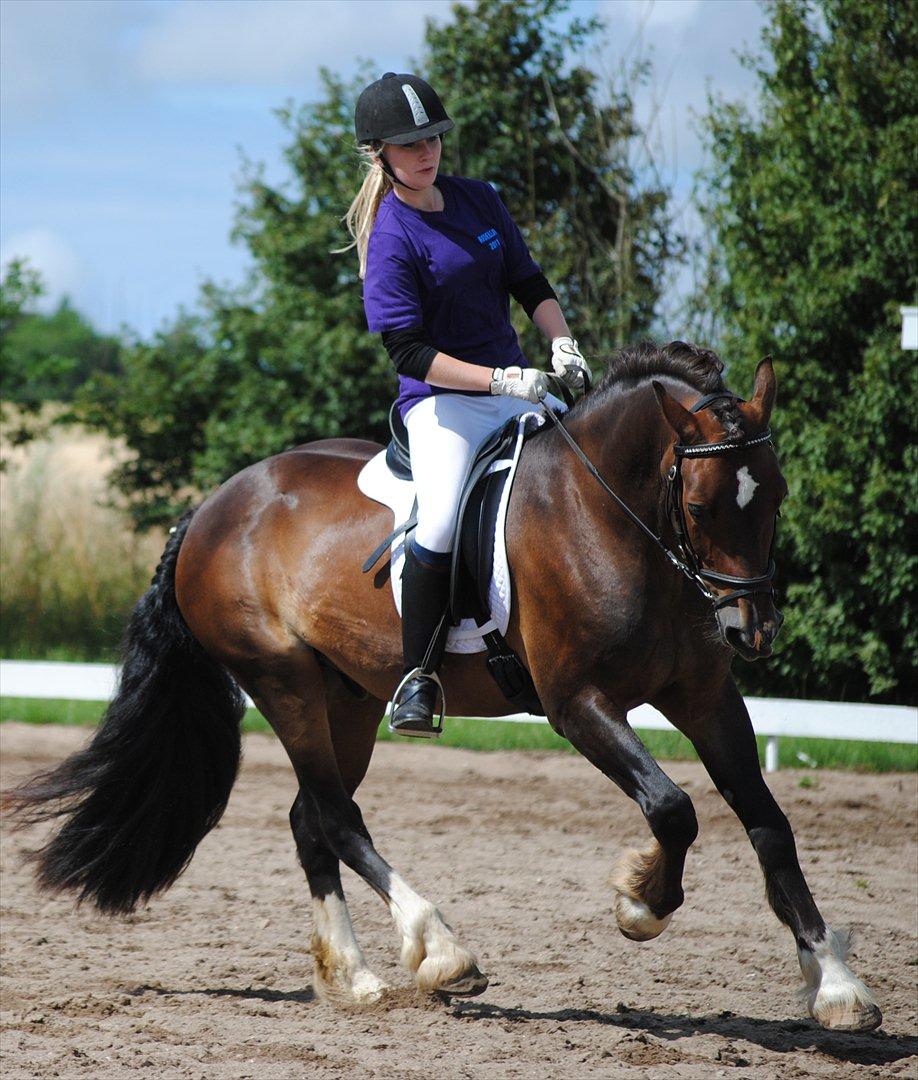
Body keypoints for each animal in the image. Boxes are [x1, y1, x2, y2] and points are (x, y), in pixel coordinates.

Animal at [5, 339, 881, 1028]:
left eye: (775, 493)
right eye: (699, 505)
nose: (750, 631)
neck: (610, 518)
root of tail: (210, 508)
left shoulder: (705, 698)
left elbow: (768, 824)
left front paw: (835, 984)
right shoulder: (577, 705)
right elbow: (672, 807)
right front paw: (641, 903)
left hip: (350, 698)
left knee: (309, 819)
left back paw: (356, 977)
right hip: (284, 683)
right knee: (337, 815)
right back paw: (440, 949)